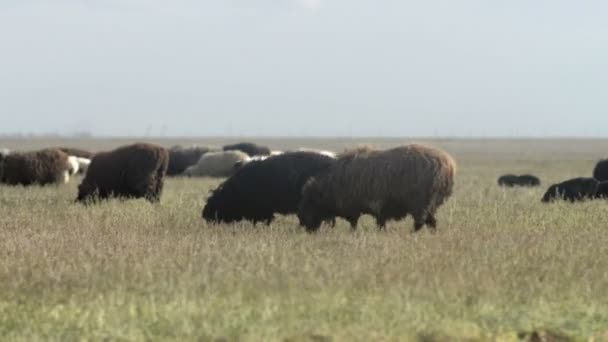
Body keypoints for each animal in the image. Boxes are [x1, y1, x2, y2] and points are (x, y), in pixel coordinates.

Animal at [296, 144, 454, 232]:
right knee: (431, 223)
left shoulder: (364, 207)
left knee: (421, 223)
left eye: (310, 202)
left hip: (420, 204)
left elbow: (356, 224)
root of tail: (448, 165)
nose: (302, 223)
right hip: (428, 205)